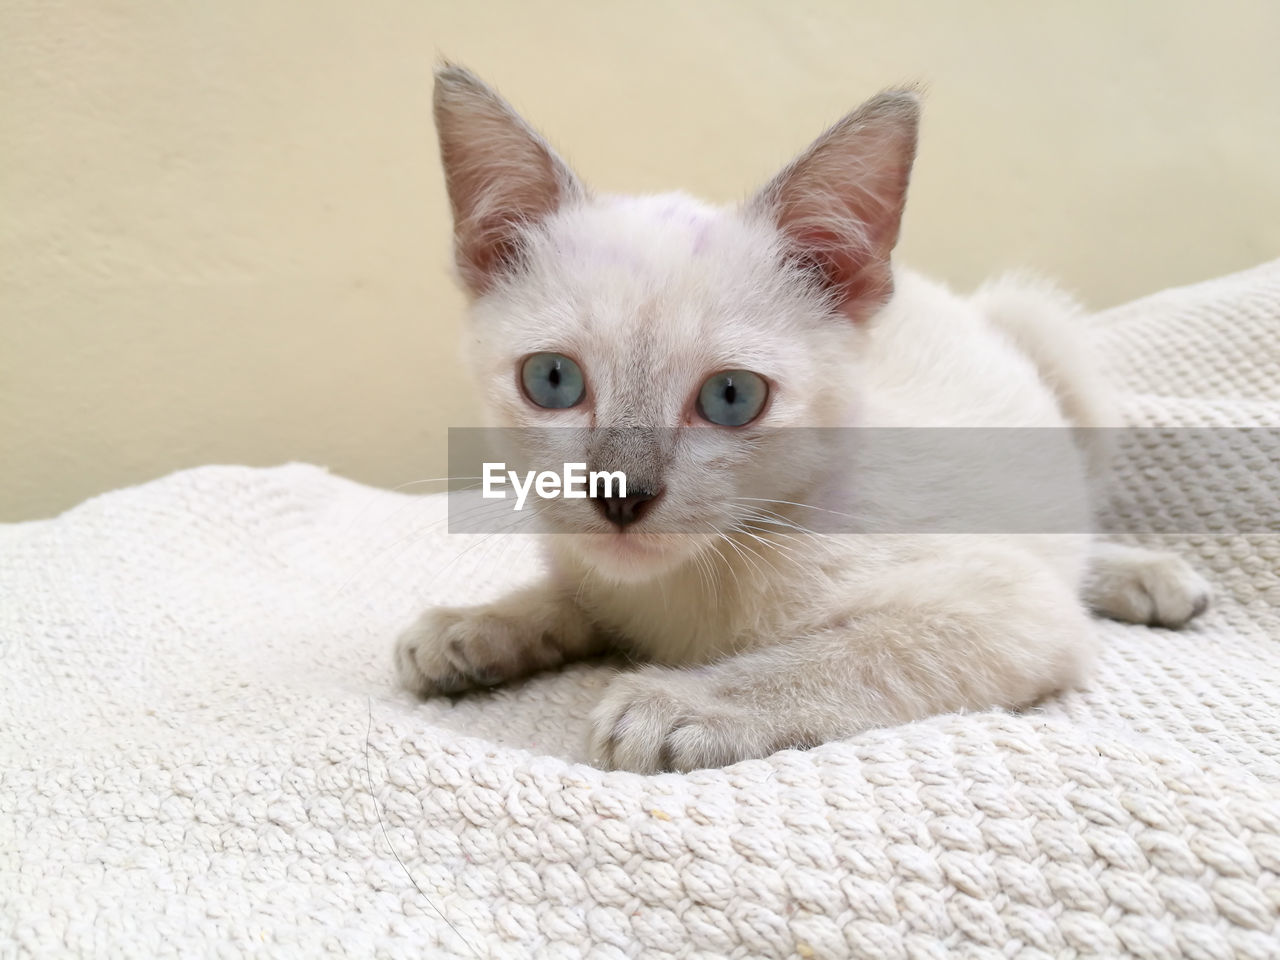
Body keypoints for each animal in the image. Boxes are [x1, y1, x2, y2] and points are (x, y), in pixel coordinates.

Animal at [391, 65, 1208, 773]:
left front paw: (678, 706)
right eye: (553, 380)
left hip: (1046, 331)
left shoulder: (1006, 611)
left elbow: (851, 655)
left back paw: (1152, 578)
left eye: (731, 397)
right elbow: (568, 596)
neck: (684, 591)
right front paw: (472, 628)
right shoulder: (594, 572)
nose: (621, 495)